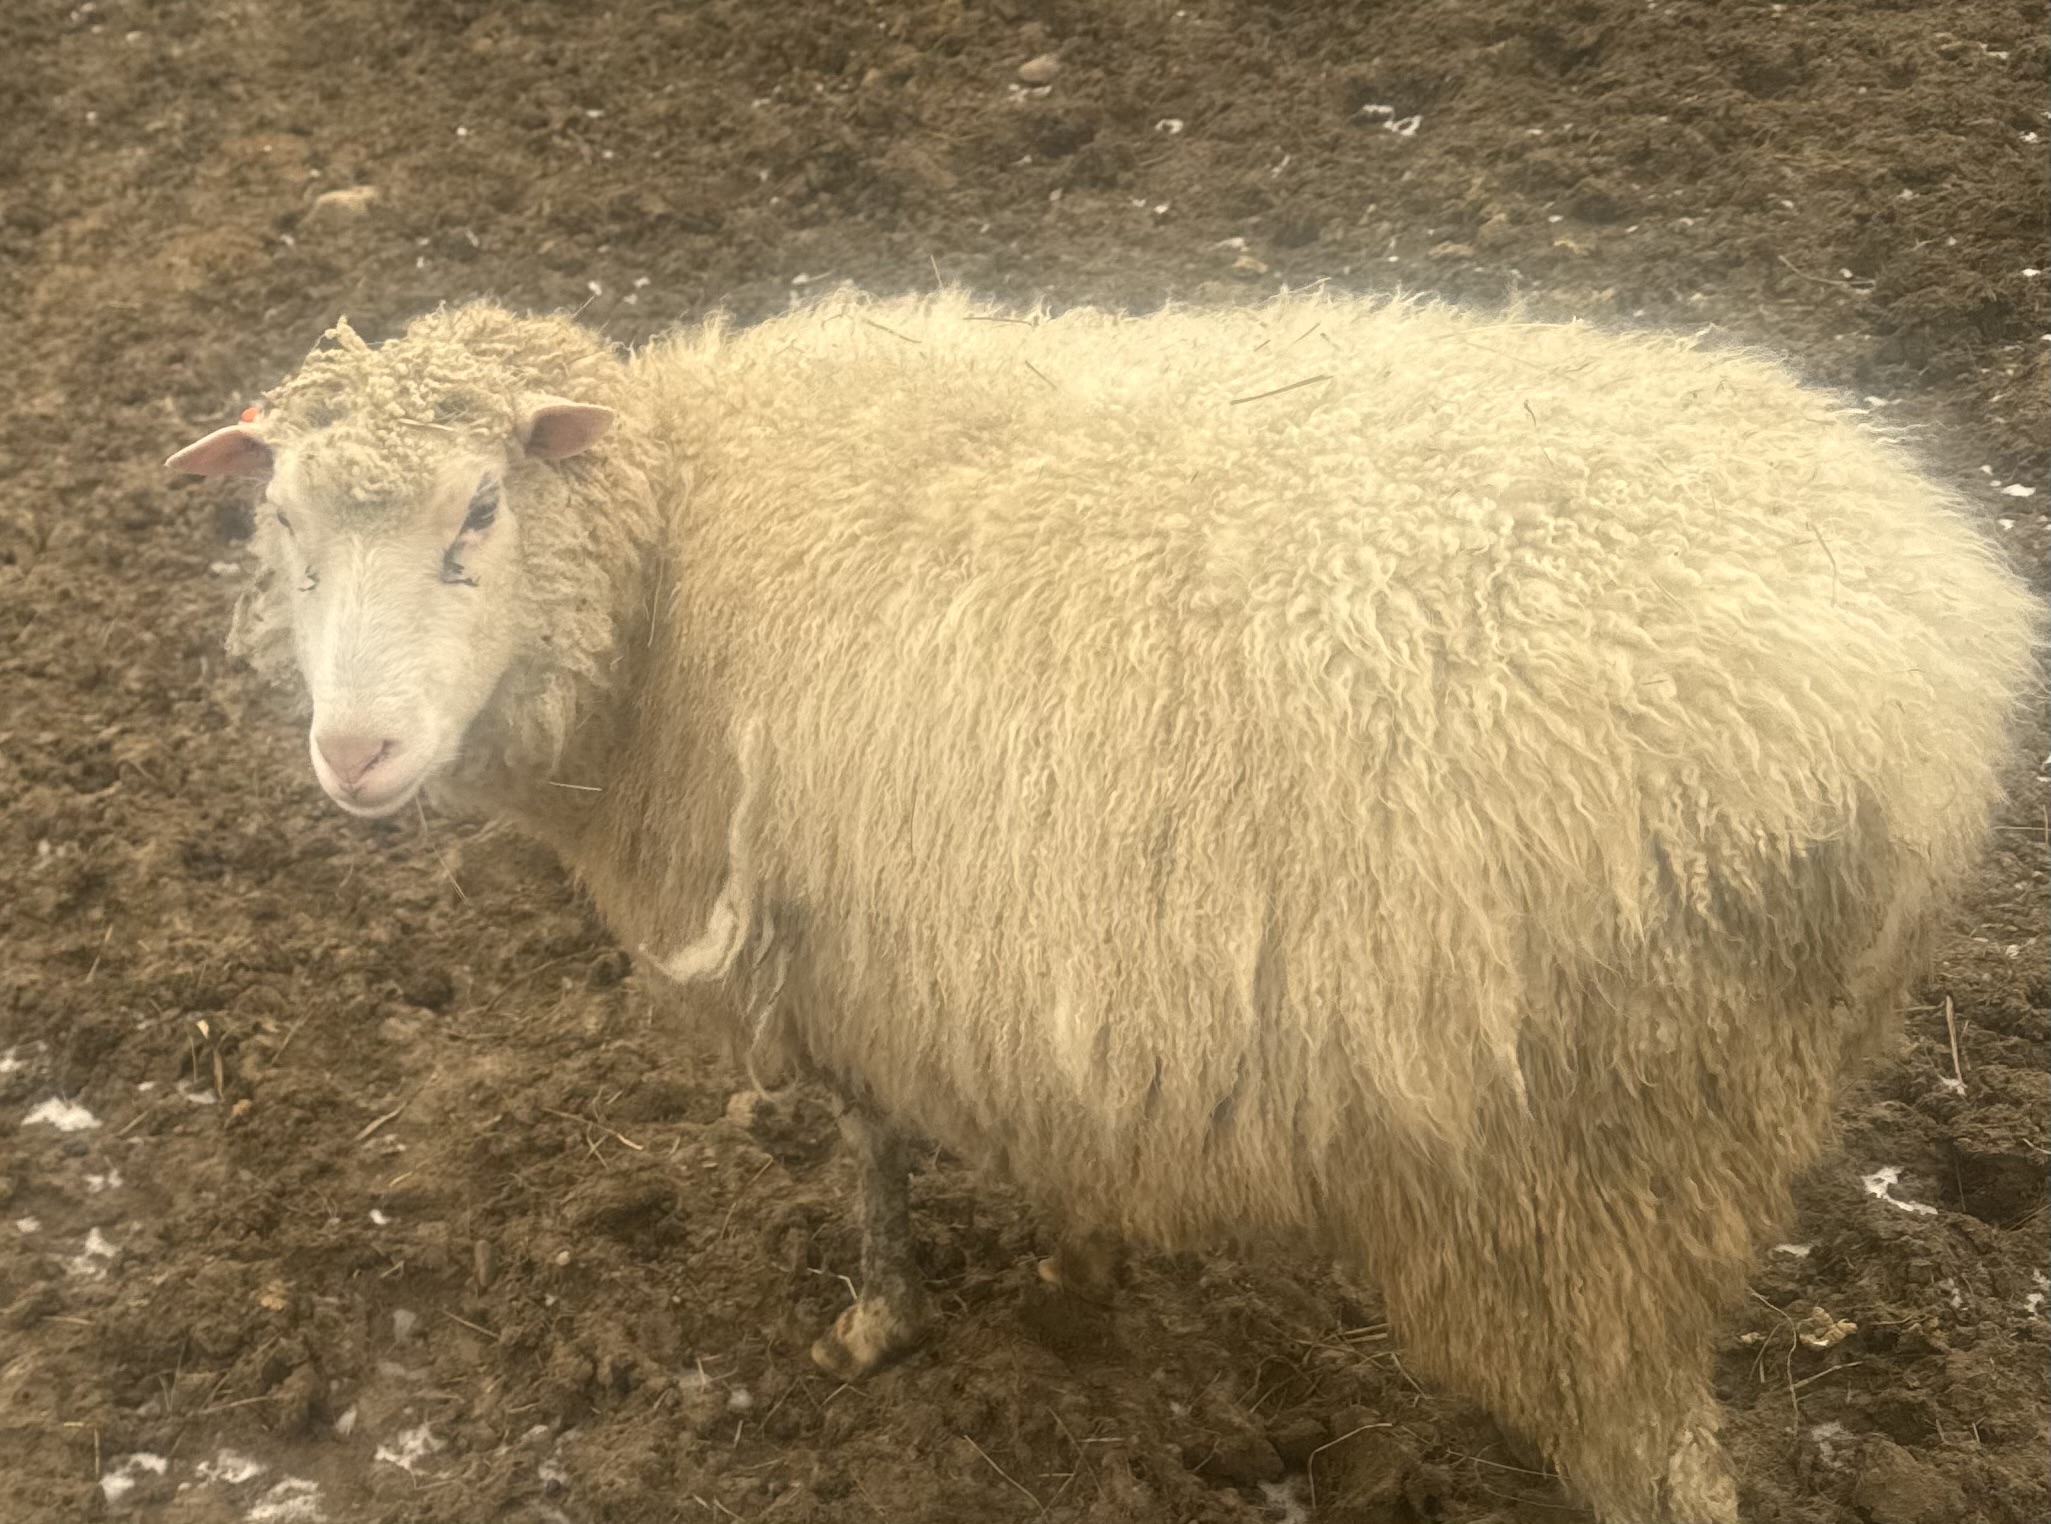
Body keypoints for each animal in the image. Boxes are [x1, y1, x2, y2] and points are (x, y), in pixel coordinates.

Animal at [167, 288, 2039, 1524]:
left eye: (481, 509)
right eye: (284, 535)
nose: (354, 754)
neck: (683, 549)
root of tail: (1940, 646)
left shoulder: (840, 940)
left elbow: (869, 1150)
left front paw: (879, 1316)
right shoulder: (995, 953)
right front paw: (1071, 1262)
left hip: (1604, 1152)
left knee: (1653, 1444)